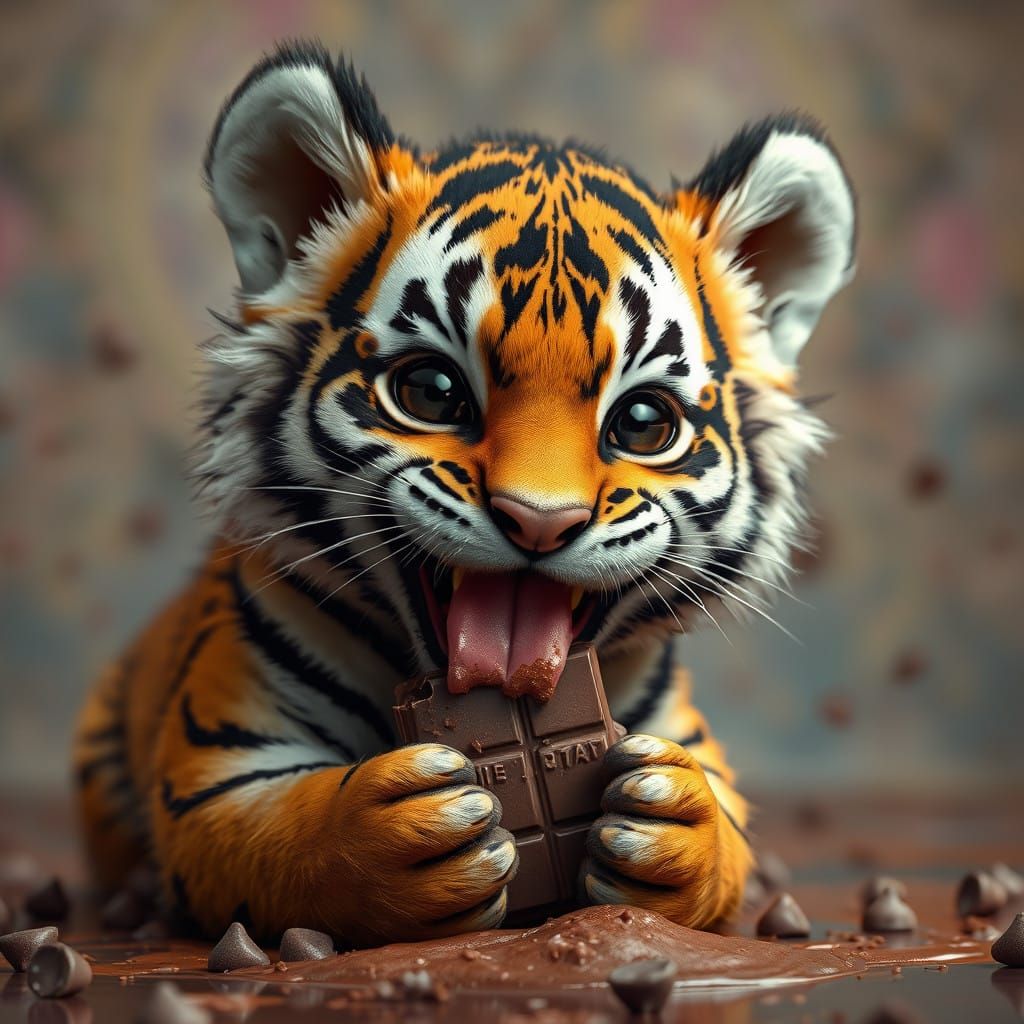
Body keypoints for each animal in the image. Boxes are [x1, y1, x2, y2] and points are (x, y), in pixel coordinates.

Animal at [73, 41, 855, 947]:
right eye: (433, 391)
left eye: (643, 422)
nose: (540, 522)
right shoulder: (220, 764)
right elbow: (279, 835)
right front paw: (406, 832)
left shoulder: (680, 730)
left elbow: (722, 829)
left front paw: (671, 820)